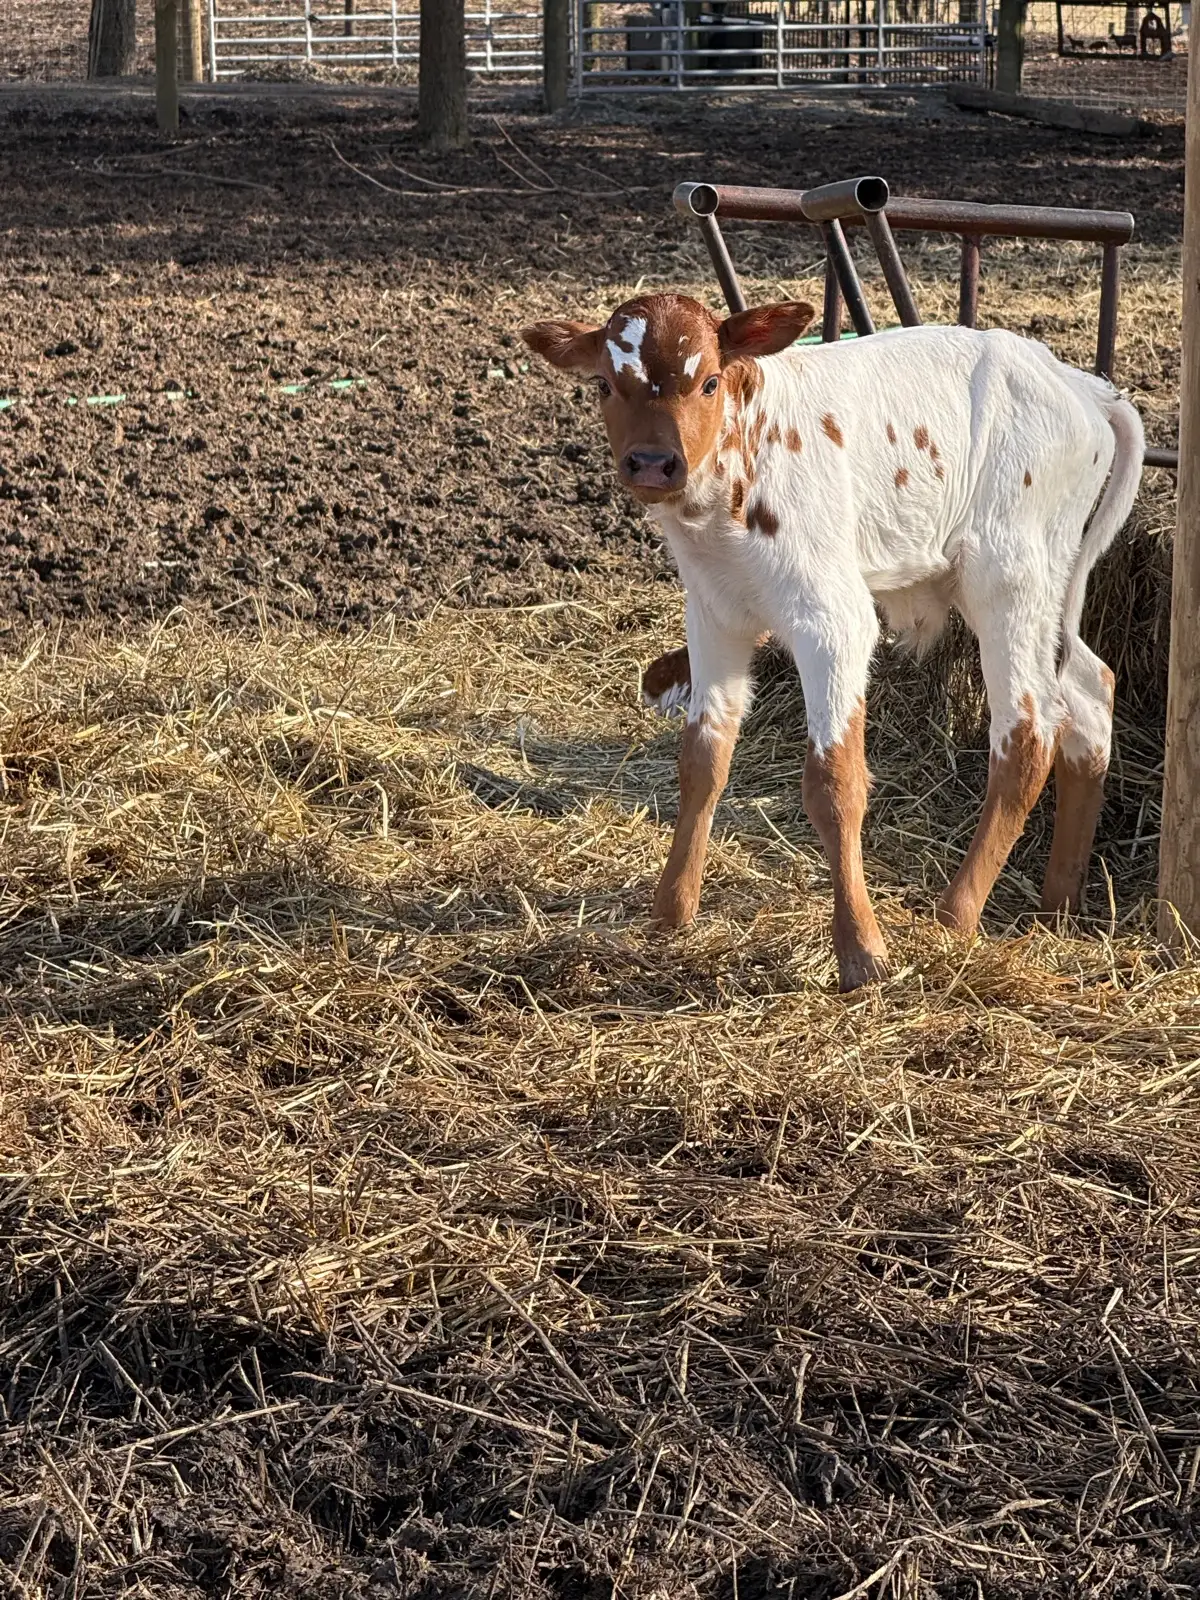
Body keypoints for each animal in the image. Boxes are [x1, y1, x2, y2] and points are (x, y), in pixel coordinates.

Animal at [521, 294, 1143, 991]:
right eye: (604, 383)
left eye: (708, 380)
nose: (654, 463)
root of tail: (1083, 385)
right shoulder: (714, 616)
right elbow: (702, 762)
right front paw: (670, 911)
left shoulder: (833, 622)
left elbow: (834, 783)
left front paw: (861, 951)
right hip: (1054, 589)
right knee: (1089, 692)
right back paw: (1058, 903)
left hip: (1010, 578)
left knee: (1030, 731)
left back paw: (954, 915)